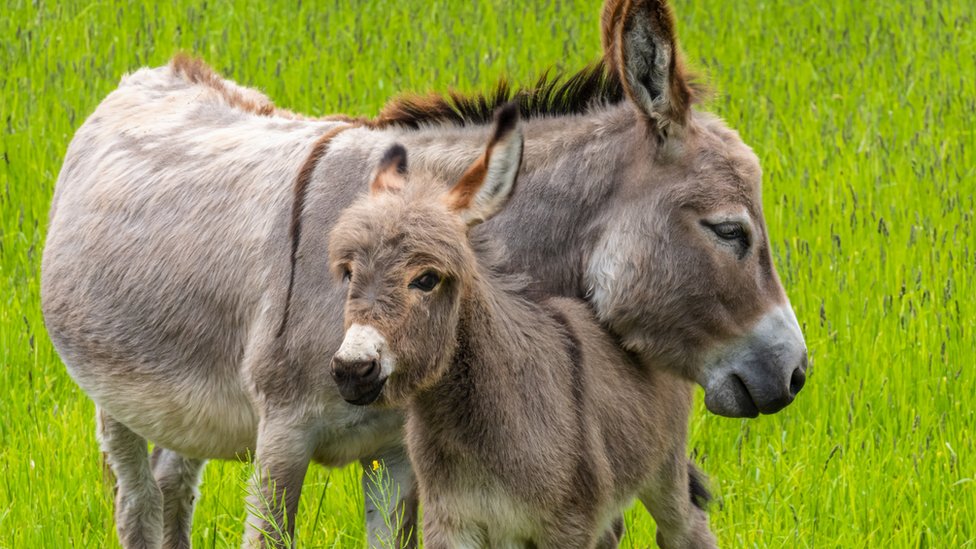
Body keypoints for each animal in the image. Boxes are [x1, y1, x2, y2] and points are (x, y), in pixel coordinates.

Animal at [328, 104, 716, 548]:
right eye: (348, 273)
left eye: (426, 279)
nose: (352, 369)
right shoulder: (452, 522)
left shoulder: (565, 526)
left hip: (664, 466)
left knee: (686, 527)